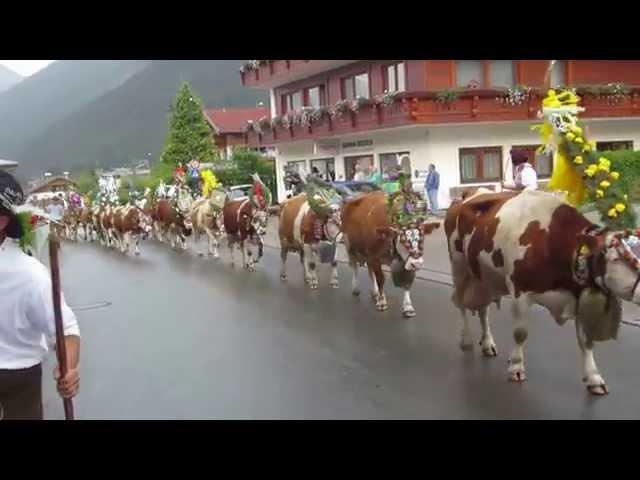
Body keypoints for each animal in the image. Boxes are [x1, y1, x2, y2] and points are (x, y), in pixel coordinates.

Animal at [448, 189, 640, 396]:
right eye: (615, 259)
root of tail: (471, 193)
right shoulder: (520, 292)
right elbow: (520, 333)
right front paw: (516, 367)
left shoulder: (577, 296)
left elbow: (585, 341)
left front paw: (594, 378)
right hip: (459, 267)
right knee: (461, 305)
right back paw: (466, 339)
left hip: (484, 276)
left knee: (483, 310)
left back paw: (487, 343)